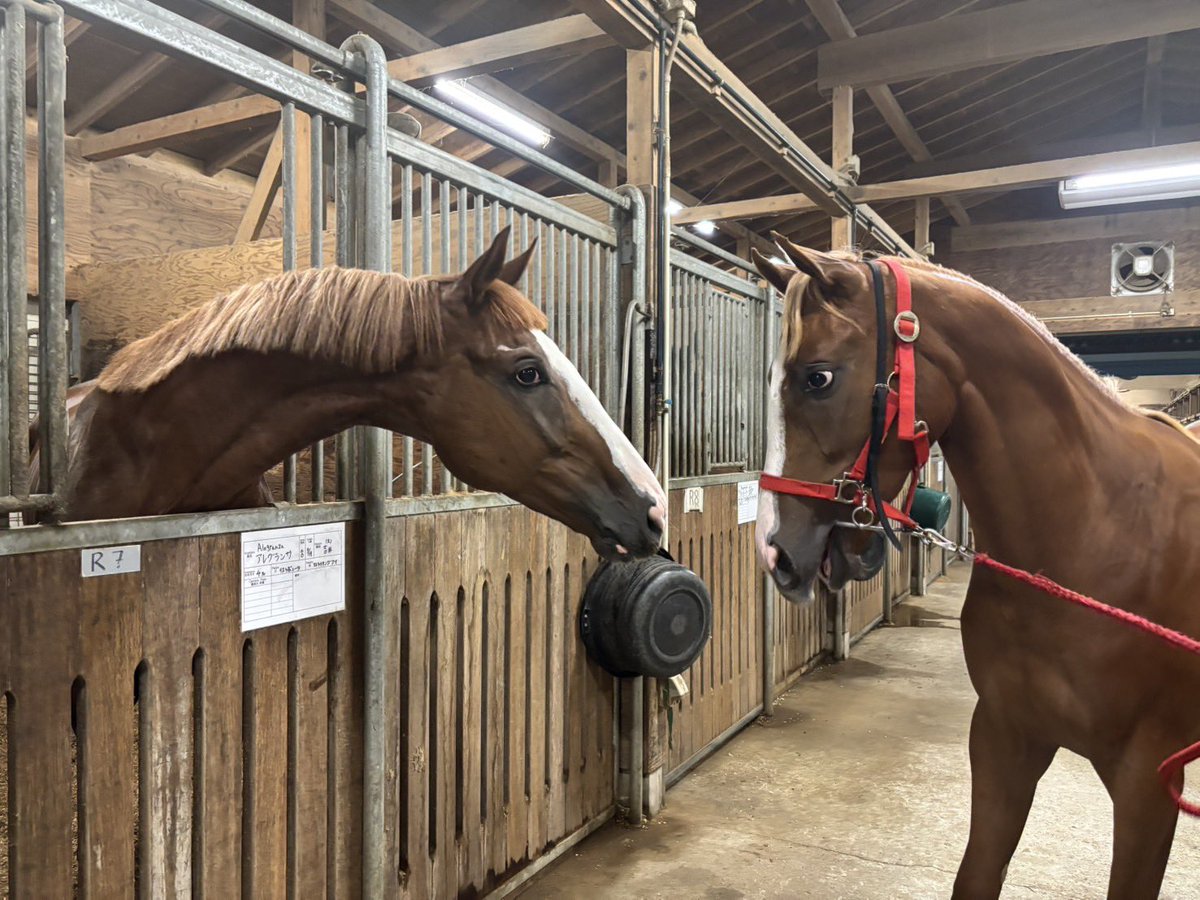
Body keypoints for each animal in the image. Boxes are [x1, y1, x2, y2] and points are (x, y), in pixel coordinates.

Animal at [752, 235, 1200, 899]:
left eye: (818, 377)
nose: (776, 552)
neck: (1099, 527)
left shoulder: (1148, 779)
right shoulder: (1003, 738)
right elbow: (977, 873)